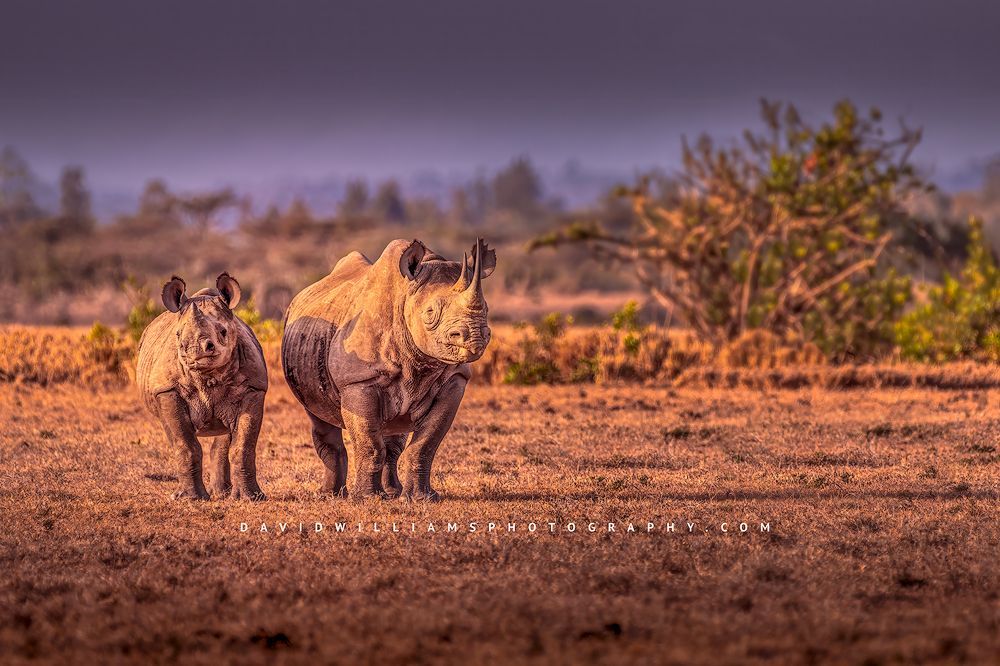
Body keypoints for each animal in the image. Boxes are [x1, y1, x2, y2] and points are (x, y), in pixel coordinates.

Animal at [136, 273, 268, 501]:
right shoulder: (167, 390)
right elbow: (186, 445)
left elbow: (243, 445)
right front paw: (190, 498)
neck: (207, 375)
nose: (195, 349)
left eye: (223, 332)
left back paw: (223, 494)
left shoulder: (254, 388)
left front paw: (252, 498)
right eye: (178, 335)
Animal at [281, 238, 495, 501]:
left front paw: (422, 498)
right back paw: (330, 495)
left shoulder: (455, 378)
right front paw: (367, 499)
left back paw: (394, 493)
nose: (475, 337)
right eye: (430, 313)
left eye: (486, 309)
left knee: (394, 437)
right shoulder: (358, 380)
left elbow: (426, 444)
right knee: (320, 416)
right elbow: (370, 444)